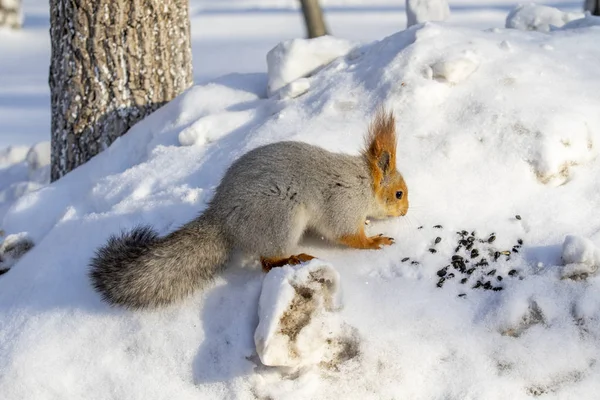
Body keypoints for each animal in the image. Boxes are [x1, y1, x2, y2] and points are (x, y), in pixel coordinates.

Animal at [89, 109, 408, 310]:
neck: (364, 183)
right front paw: (375, 240)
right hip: (281, 218)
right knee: (267, 261)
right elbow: (346, 235)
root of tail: (221, 219)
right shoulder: (343, 204)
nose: (406, 211)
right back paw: (294, 257)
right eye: (398, 193)